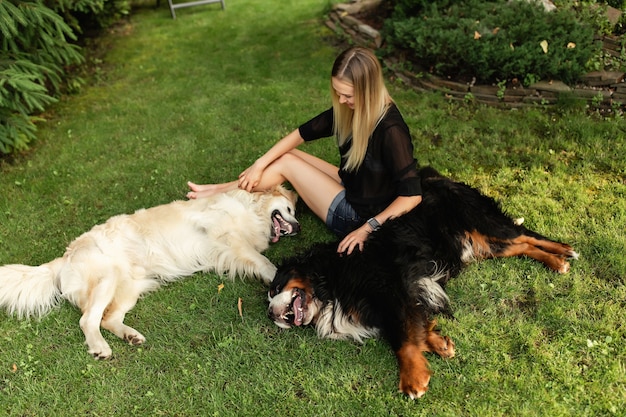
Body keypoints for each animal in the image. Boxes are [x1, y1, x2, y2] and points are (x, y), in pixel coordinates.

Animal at [0, 185, 298, 358]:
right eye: (290, 209)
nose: (297, 227)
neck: (252, 210)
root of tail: (64, 256)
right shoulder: (226, 235)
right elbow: (263, 262)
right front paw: (279, 281)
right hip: (108, 278)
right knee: (88, 320)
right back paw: (100, 348)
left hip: (131, 287)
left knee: (107, 319)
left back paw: (131, 336)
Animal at [264, 165, 576, 396]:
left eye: (276, 287)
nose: (270, 313)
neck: (331, 278)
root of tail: (439, 177)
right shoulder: (405, 292)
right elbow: (415, 322)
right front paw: (439, 343)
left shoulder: (391, 288)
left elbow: (402, 335)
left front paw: (413, 378)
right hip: (480, 245)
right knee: (520, 246)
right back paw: (555, 261)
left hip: (483, 223)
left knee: (526, 236)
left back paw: (562, 252)